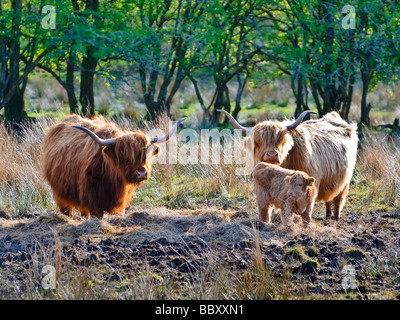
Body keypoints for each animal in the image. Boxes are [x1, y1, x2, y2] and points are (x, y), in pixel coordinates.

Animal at [41, 114, 185, 218]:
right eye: (124, 155)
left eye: (145, 154)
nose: (141, 173)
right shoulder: (93, 202)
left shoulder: (120, 204)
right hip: (60, 194)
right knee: (67, 210)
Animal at [219, 110, 360, 220]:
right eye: (258, 140)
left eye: (281, 139)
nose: (272, 154)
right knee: (329, 199)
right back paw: (328, 215)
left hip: (345, 179)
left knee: (338, 199)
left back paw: (335, 217)